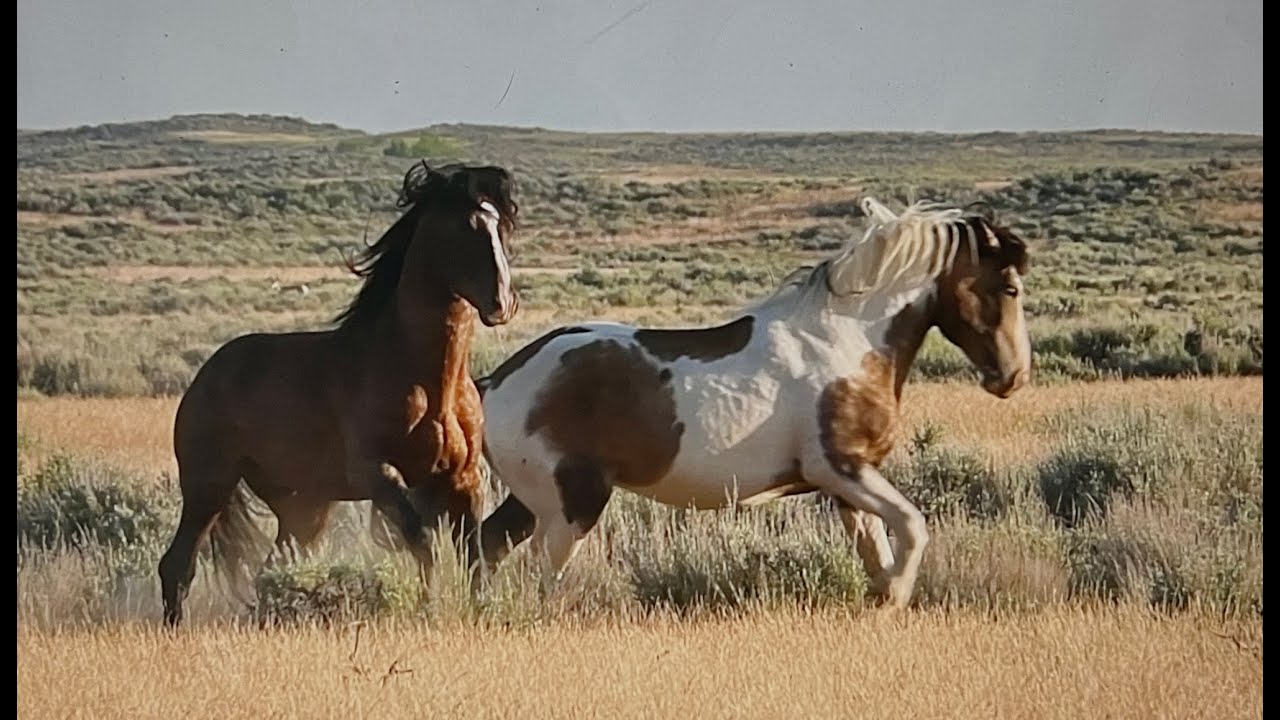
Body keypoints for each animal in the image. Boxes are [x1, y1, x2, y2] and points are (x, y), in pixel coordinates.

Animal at [157, 161, 521, 627]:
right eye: (465, 226)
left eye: (500, 226)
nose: (501, 303)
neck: (429, 383)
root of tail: (205, 376)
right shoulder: (377, 473)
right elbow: (423, 541)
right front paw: (429, 607)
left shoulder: (463, 479)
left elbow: (472, 552)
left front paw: (481, 610)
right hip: (209, 486)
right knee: (178, 565)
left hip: (299, 505)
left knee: (273, 566)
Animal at [475, 197, 1031, 609]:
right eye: (1008, 287)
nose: (1012, 376)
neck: (847, 341)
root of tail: (494, 381)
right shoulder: (839, 469)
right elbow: (913, 527)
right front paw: (894, 594)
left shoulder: (848, 487)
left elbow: (878, 550)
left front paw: (881, 600)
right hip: (572, 502)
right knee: (540, 571)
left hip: (533, 499)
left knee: (487, 545)